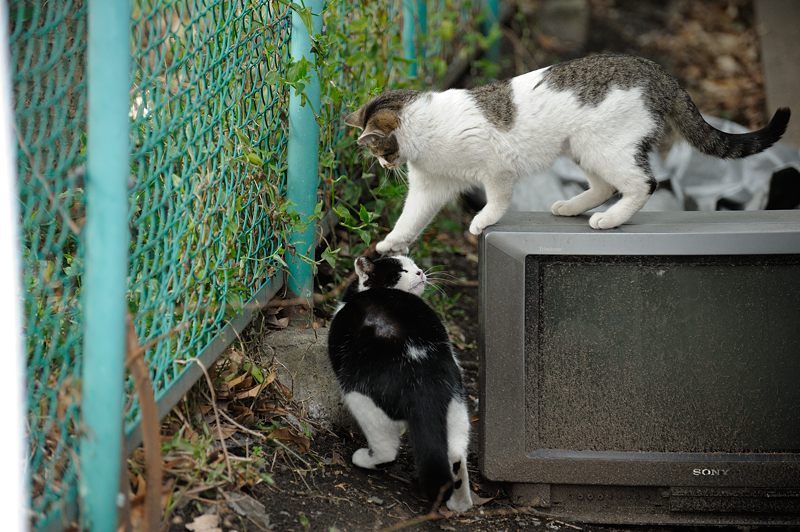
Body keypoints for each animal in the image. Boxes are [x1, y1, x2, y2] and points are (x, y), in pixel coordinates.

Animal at [326, 256, 472, 512]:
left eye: (413, 268)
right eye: (403, 270)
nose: (420, 271)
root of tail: (423, 381)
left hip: (361, 399)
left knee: (387, 449)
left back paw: (364, 459)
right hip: (457, 404)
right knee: (455, 454)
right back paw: (460, 503)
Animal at [346, 54, 792, 254]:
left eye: (380, 150)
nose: (383, 164)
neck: (428, 129)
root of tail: (655, 70)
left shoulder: (496, 165)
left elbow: (497, 198)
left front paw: (483, 220)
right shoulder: (430, 186)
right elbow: (410, 219)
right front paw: (389, 243)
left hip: (605, 146)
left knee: (642, 184)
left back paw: (609, 219)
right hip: (582, 148)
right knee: (604, 185)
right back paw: (572, 207)